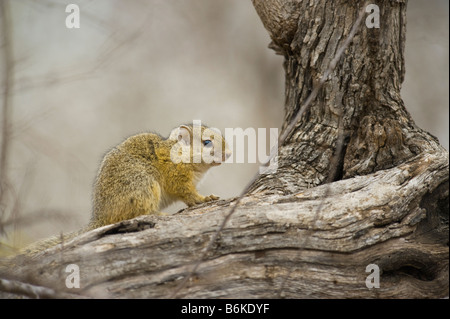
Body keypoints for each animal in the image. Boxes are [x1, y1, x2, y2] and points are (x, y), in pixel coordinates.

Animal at [90, 123, 234, 230]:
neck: (180, 153)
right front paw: (205, 198)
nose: (229, 153)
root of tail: (101, 217)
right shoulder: (176, 177)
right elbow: (188, 193)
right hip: (143, 186)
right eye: (207, 142)